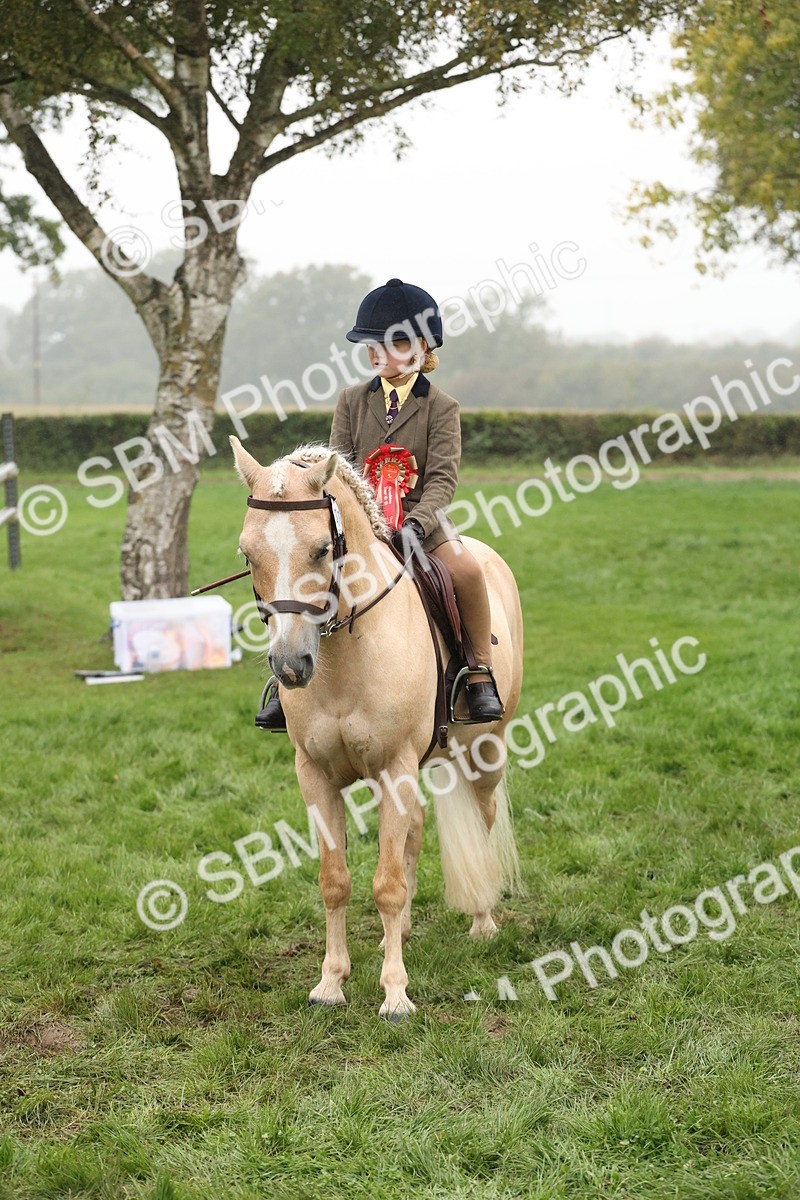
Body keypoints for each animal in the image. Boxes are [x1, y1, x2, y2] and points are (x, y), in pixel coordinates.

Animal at [230, 436, 524, 1019]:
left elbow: (385, 884)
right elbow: (335, 881)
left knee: (481, 822)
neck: (346, 655)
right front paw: (331, 983)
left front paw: (394, 994)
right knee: (412, 835)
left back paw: (482, 919)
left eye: (322, 549)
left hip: (485, 751)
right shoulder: (316, 776)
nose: (291, 666)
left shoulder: (395, 768)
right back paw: (404, 931)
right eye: (248, 555)